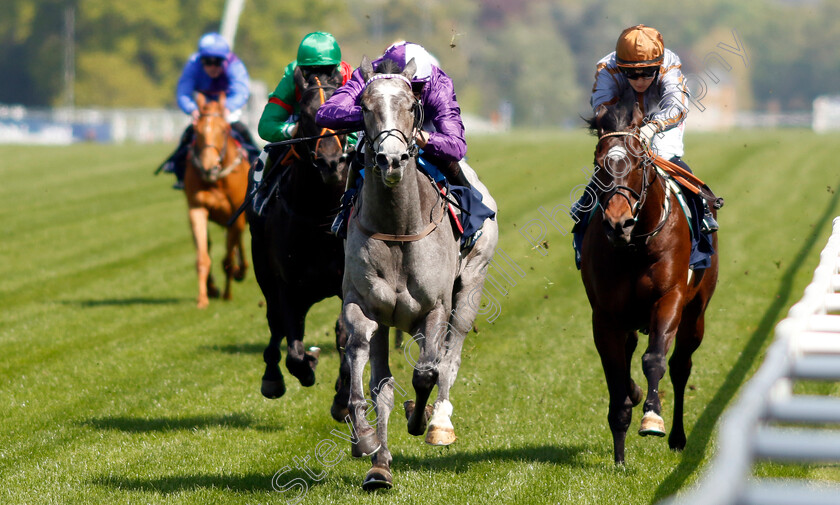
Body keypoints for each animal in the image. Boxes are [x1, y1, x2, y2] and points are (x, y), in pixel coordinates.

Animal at [185, 92, 248, 310]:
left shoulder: (236, 214)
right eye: (196, 130)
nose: (208, 168)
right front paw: (203, 298)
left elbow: (228, 258)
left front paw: (228, 292)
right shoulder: (197, 209)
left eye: (223, 129)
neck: (217, 181)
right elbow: (203, 257)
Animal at [342, 58, 498, 488]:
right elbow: (368, 367)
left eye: (412, 106)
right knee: (383, 377)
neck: (398, 227)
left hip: (471, 285)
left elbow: (427, 371)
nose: (391, 160)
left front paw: (420, 417)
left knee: (450, 356)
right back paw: (379, 458)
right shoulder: (363, 304)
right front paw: (369, 445)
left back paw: (439, 421)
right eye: (363, 107)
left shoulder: (434, 308)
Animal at [576, 102, 720, 464]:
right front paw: (619, 452)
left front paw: (652, 418)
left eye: (639, 161)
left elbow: (654, 359)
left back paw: (679, 437)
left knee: (681, 365)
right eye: (599, 163)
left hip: (696, 313)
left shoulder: (669, 297)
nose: (618, 223)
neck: (635, 246)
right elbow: (616, 370)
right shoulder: (605, 315)